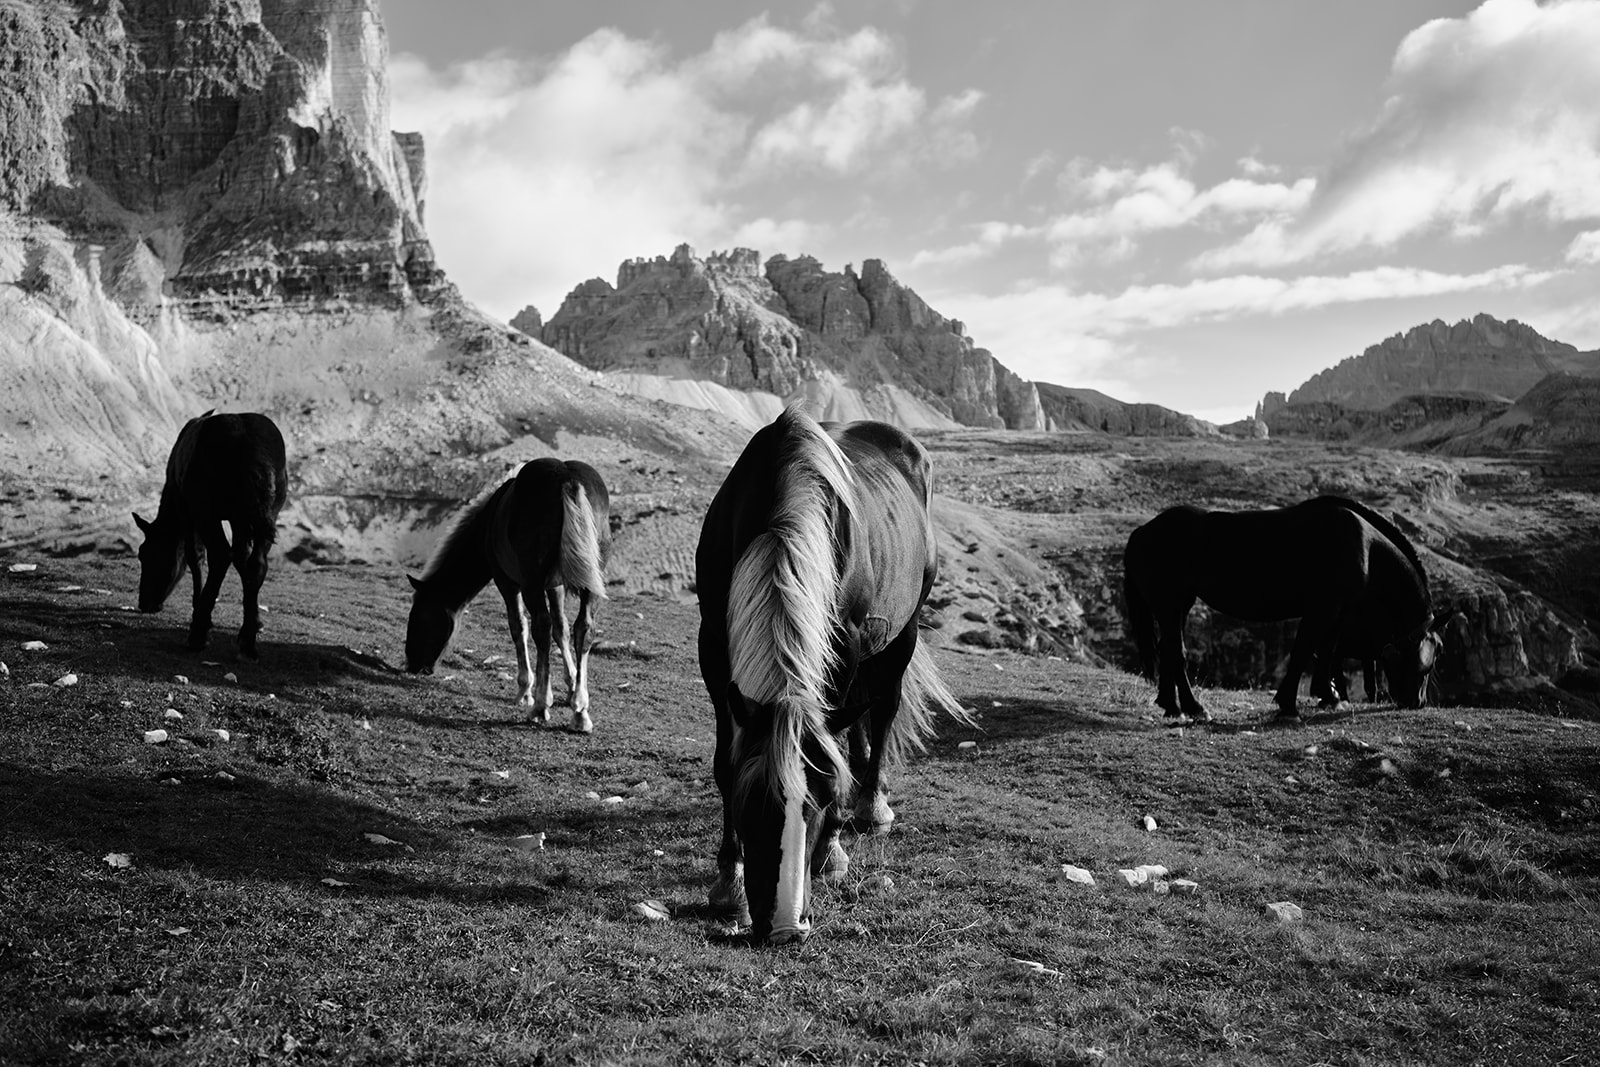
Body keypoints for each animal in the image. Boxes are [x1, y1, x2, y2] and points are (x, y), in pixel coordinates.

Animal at [133, 410, 288, 659]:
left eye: (145, 553)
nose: (145, 603)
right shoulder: (238, 518)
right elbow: (242, 559)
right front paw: (255, 620)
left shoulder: (186, 511)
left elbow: (193, 556)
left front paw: (198, 605)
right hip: (270, 510)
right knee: (257, 563)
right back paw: (247, 641)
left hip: (206, 508)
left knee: (220, 555)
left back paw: (198, 632)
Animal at [405, 458, 610, 733]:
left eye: (418, 617)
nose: (412, 665)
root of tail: (568, 480)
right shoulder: (554, 585)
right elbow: (562, 629)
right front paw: (570, 686)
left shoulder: (507, 582)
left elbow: (519, 626)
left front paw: (525, 690)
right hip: (592, 584)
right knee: (583, 628)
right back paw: (580, 713)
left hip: (531, 583)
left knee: (541, 628)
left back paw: (540, 706)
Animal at [696, 404, 970, 946]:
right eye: (750, 801)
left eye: (820, 802)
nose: (786, 926)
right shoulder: (712, 647)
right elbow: (724, 761)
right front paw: (729, 879)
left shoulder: (848, 642)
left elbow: (835, 748)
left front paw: (832, 850)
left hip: (903, 629)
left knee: (882, 711)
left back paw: (871, 804)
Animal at [1123, 495, 1442, 721]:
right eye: (1427, 662)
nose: (1417, 702)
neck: (1365, 545)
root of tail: (1142, 531)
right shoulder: (1321, 609)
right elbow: (1303, 650)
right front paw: (1288, 704)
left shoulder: (1338, 612)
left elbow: (1326, 649)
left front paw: (1327, 695)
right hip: (1169, 604)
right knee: (1176, 651)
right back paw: (1193, 707)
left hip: (1180, 605)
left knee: (1167, 648)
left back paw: (1171, 705)